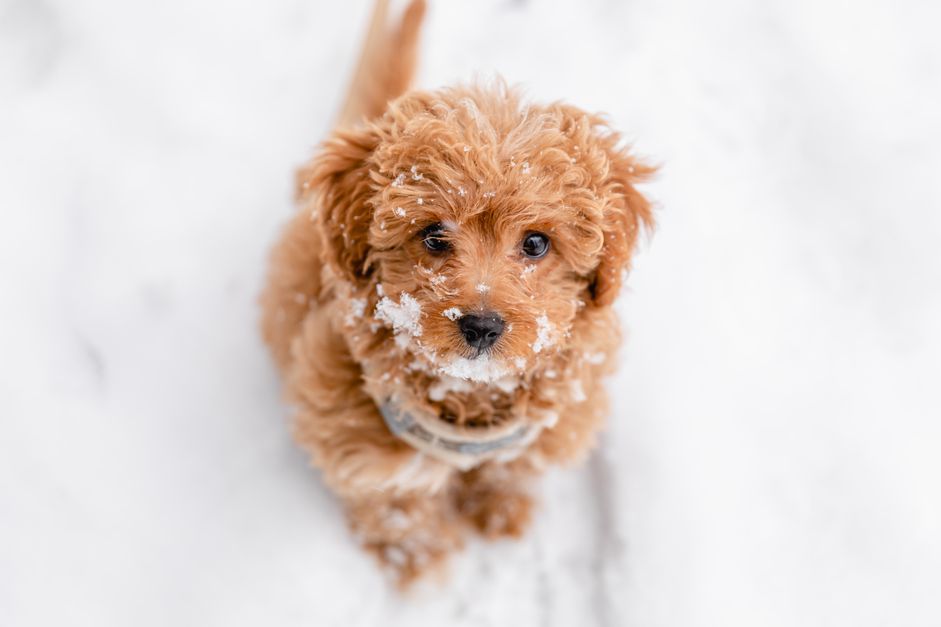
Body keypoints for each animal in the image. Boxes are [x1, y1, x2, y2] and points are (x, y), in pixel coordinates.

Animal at [258, 1, 652, 588]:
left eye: (536, 243)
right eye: (433, 236)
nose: (482, 326)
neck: (467, 398)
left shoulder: (549, 422)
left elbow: (512, 469)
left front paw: (502, 511)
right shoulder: (356, 434)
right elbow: (395, 503)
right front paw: (419, 560)